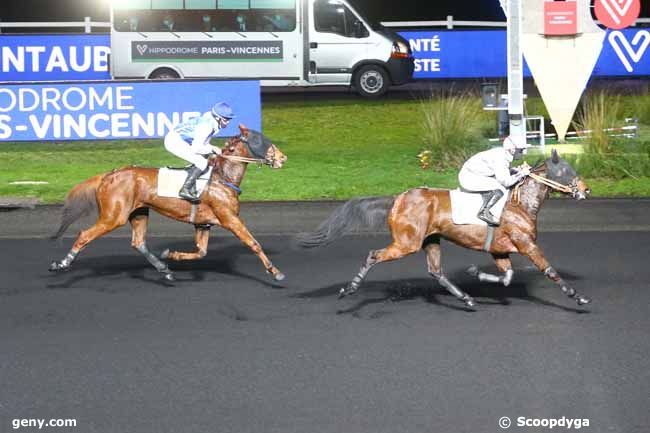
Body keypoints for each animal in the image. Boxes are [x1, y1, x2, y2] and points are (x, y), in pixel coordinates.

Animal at [50, 123, 284, 282]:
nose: (282, 158)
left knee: (138, 242)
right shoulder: (230, 219)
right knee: (84, 235)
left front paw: (170, 254)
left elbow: (201, 252)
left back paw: (164, 268)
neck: (222, 177)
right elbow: (253, 243)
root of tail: (108, 175)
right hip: (113, 217)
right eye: (260, 139)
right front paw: (275, 272)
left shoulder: (203, 223)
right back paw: (61, 263)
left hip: (139, 212)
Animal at [298, 150, 592, 308]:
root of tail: (397, 199)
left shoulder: (500, 251)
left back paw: (467, 298)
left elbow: (507, 277)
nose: (586, 190)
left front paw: (476, 273)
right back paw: (350, 289)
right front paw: (578, 297)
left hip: (431, 240)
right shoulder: (526, 244)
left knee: (436, 271)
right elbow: (549, 270)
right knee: (373, 255)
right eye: (566, 170)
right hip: (406, 244)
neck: (519, 203)